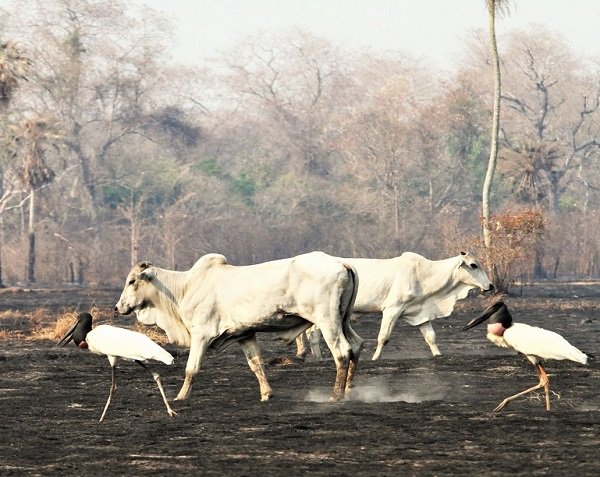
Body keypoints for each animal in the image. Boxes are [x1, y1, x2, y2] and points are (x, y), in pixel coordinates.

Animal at [114, 251, 363, 403]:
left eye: (132, 281)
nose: (118, 307)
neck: (185, 287)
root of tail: (342, 263)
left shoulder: (201, 334)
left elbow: (191, 369)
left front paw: (181, 396)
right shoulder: (245, 334)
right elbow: (256, 365)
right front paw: (266, 394)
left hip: (327, 320)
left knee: (342, 352)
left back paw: (336, 395)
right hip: (342, 320)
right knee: (356, 346)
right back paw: (349, 391)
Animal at [296, 252, 493, 360]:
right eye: (473, 265)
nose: (490, 286)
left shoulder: (419, 313)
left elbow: (431, 337)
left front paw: (438, 355)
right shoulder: (392, 309)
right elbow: (383, 337)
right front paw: (375, 358)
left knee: (312, 333)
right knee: (312, 334)